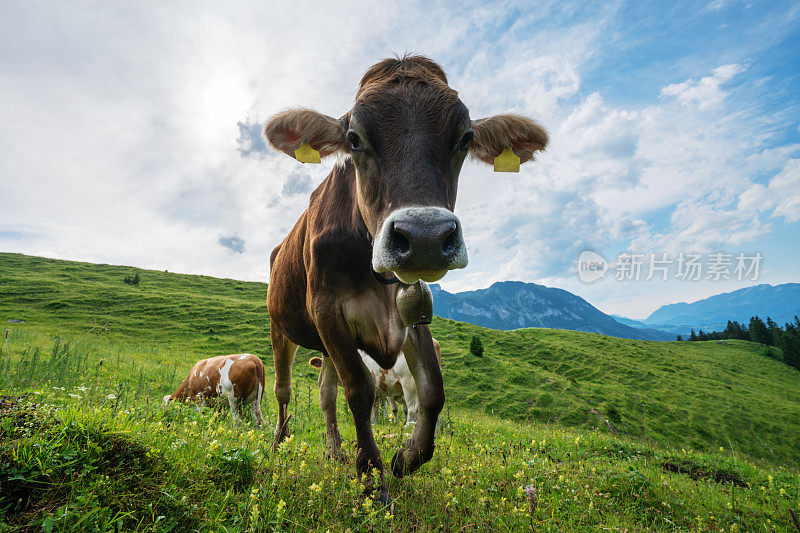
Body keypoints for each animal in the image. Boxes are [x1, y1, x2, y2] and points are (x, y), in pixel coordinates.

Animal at [310, 336, 444, 428]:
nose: (320, 380)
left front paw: (373, 423)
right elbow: (377, 407)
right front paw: (377, 422)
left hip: (408, 382)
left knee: (413, 408)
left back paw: (408, 427)